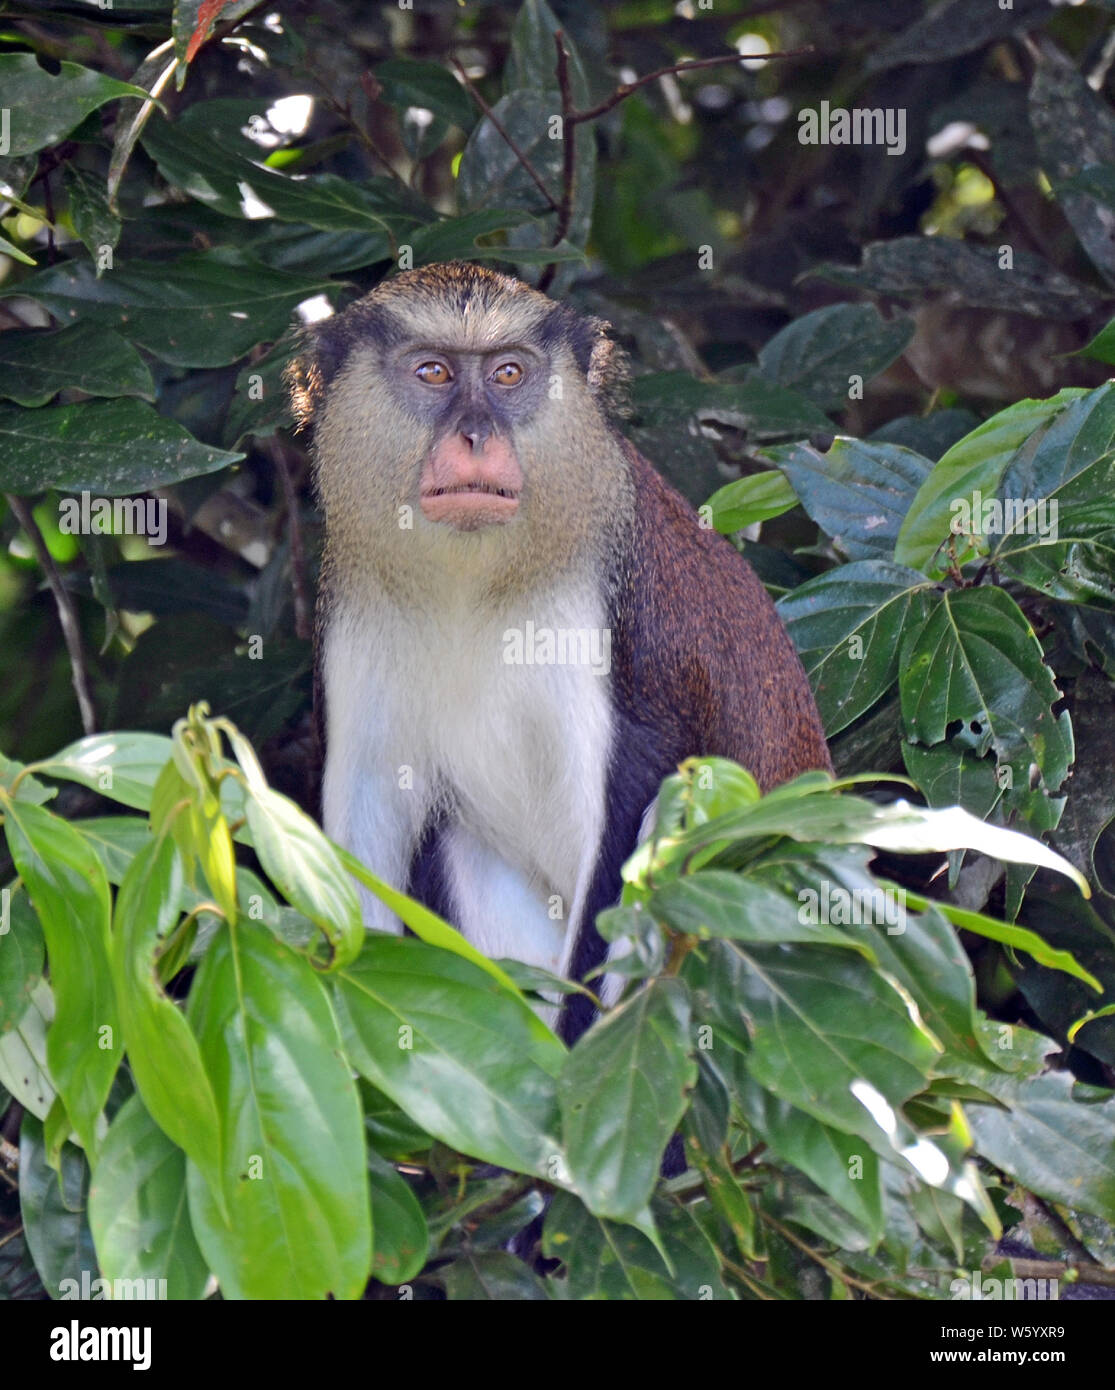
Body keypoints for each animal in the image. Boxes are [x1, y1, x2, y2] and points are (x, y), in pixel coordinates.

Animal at [286, 262, 823, 1045]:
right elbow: (368, 820)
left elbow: (633, 826)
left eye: (508, 373)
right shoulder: (354, 613)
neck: (473, 583)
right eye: (433, 371)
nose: (475, 435)